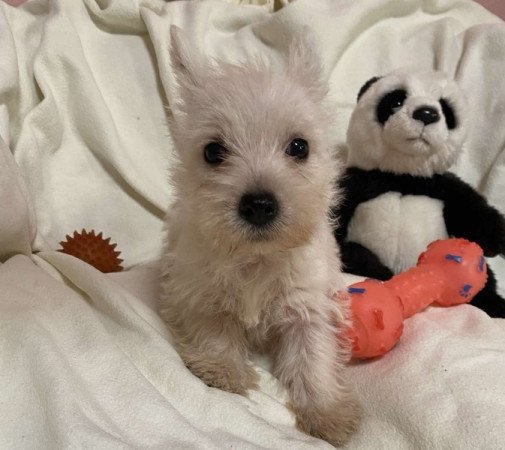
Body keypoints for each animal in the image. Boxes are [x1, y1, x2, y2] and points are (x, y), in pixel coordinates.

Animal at [159, 25, 360, 446]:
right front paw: (222, 369)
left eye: (299, 146)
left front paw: (328, 412)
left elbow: (313, 357)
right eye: (213, 151)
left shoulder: (308, 306)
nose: (259, 205)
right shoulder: (196, 289)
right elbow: (213, 326)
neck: (257, 257)